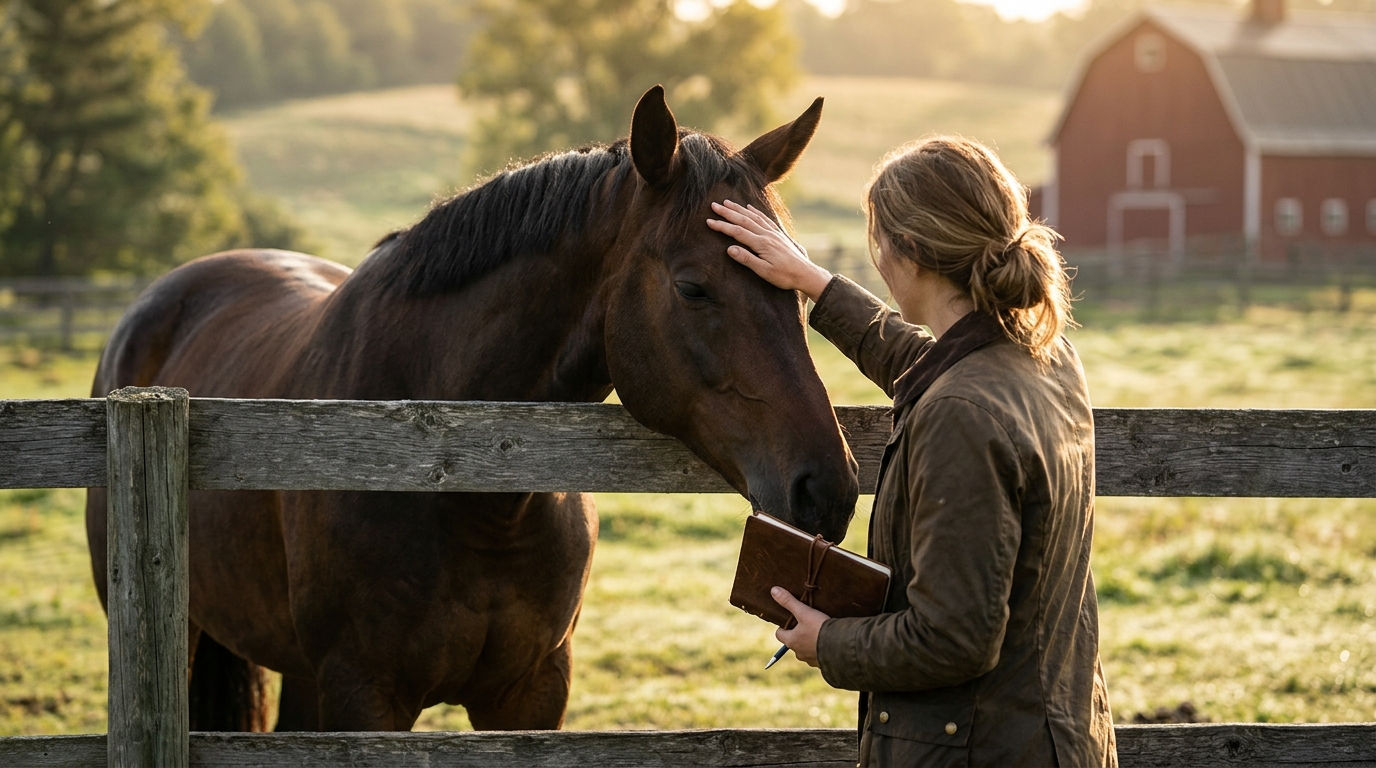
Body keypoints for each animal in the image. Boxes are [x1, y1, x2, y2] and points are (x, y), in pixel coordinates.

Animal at [84, 86, 860, 732]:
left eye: (793, 283)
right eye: (694, 287)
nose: (827, 487)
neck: (466, 484)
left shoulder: (531, 692)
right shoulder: (365, 693)